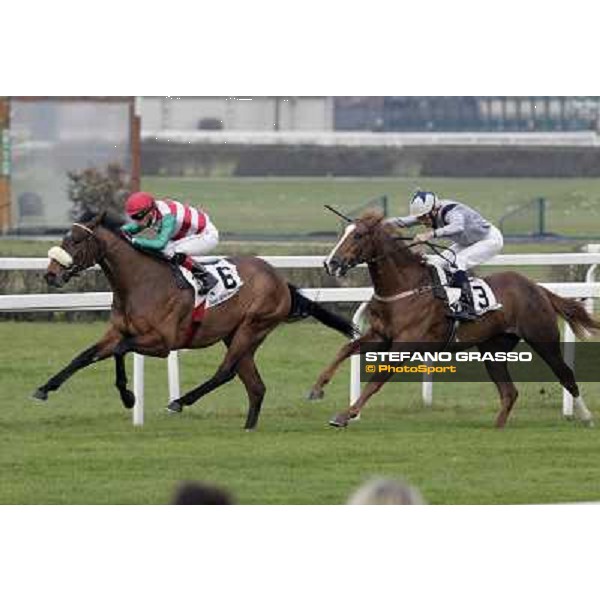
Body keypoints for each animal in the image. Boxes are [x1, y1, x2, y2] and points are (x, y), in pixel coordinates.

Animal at [35, 211, 354, 426]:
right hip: (236, 334)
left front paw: (128, 396)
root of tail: (279, 279)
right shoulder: (117, 331)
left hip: (252, 327)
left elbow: (121, 350)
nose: (50, 274)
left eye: (76, 240)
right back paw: (248, 428)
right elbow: (85, 356)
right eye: (63, 238)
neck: (139, 282)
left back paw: (179, 401)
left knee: (225, 372)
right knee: (256, 386)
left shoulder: (161, 343)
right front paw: (44, 388)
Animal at [310, 210, 600, 426]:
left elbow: (376, 380)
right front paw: (317, 388)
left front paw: (345, 415)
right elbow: (345, 349)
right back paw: (496, 428)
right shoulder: (381, 336)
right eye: (343, 233)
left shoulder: (405, 345)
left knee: (565, 374)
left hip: (542, 338)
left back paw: (586, 417)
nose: (330, 264)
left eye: (358, 235)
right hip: (493, 349)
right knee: (509, 392)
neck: (405, 287)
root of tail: (536, 287)